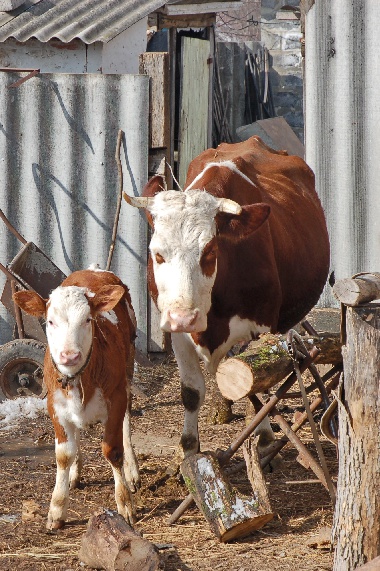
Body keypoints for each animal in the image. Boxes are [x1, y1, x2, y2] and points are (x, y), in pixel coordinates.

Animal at [14, 270, 141, 532]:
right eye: (50, 321)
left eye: (87, 320)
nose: (69, 355)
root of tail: (93, 270)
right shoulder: (54, 406)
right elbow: (63, 455)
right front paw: (56, 509)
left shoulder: (116, 397)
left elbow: (113, 450)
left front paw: (124, 503)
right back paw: (75, 472)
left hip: (128, 366)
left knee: (126, 420)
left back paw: (132, 471)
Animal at [124, 137, 330, 460]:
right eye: (157, 254)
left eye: (210, 251)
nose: (184, 317)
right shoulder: (176, 333)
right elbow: (191, 391)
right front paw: (189, 449)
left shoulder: (261, 327)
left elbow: (257, 384)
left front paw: (264, 438)